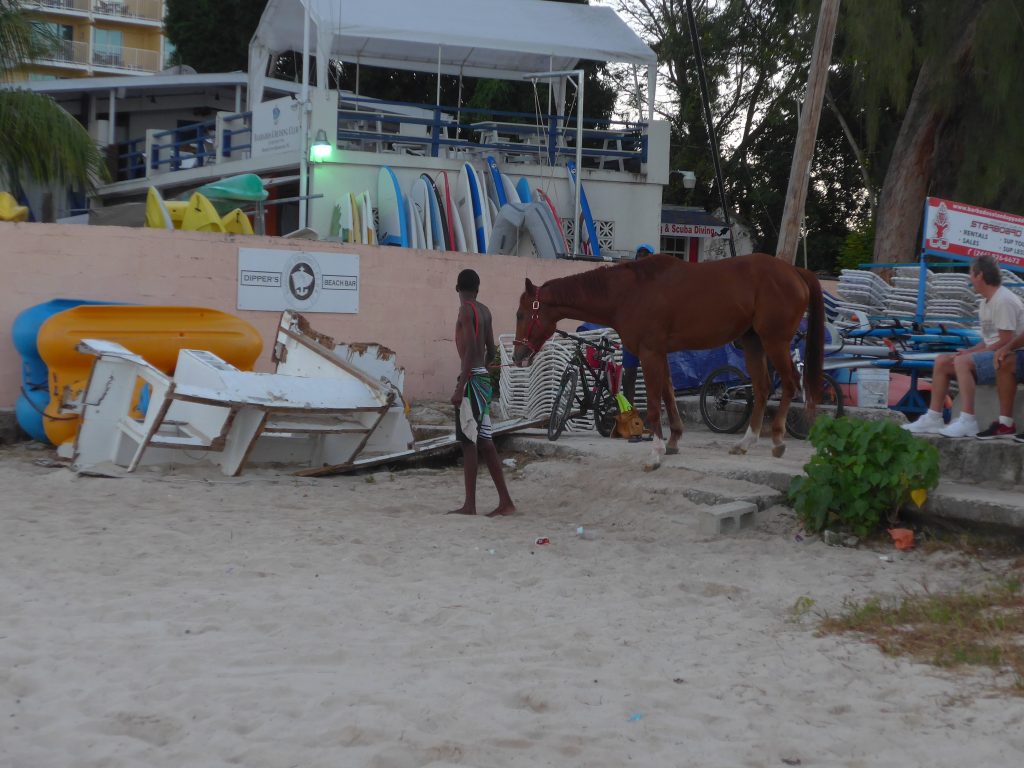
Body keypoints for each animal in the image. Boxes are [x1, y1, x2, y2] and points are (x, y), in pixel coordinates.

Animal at [512, 252, 823, 468]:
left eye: (521, 314)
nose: (517, 355)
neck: (628, 292)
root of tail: (795, 271)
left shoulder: (649, 353)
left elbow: (653, 405)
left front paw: (656, 452)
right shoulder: (660, 354)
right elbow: (668, 395)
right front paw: (673, 441)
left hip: (775, 342)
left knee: (790, 384)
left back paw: (778, 439)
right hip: (753, 343)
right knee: (761, 389)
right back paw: (746, 442)